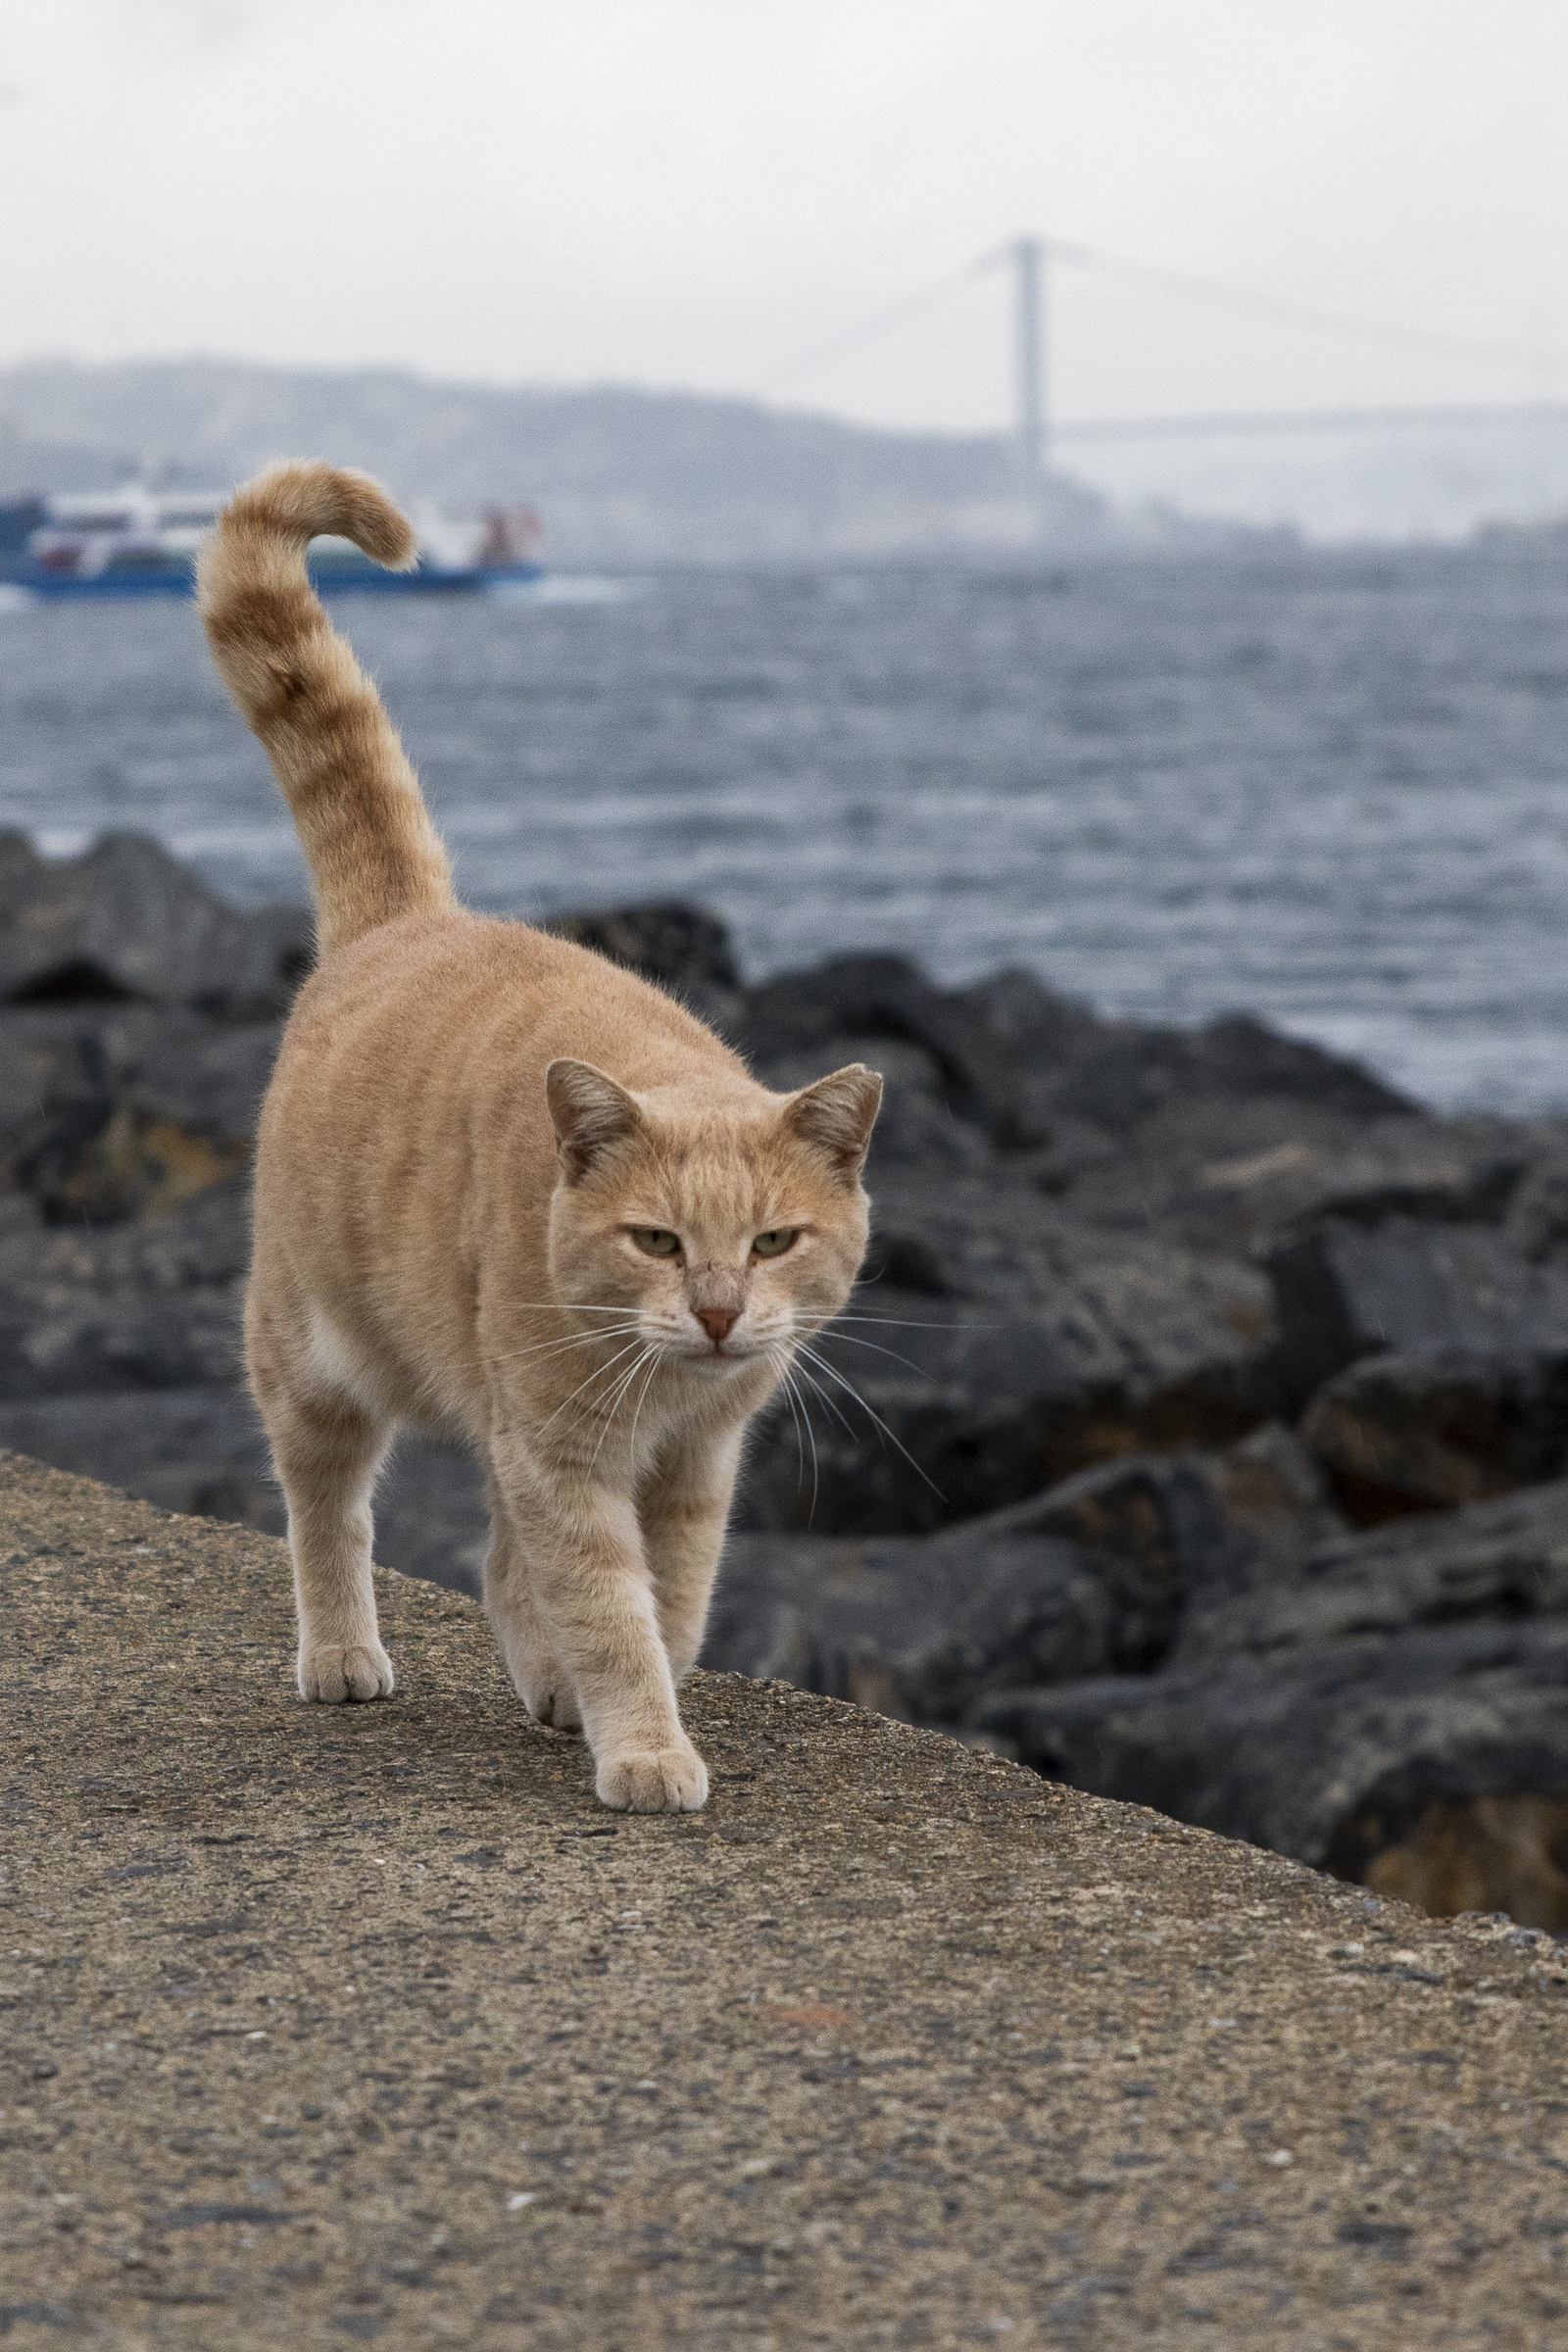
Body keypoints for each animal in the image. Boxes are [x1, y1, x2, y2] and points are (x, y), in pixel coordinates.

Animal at [199, 463, 883, 1815]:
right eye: (656, 1242)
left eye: (774, 1242)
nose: (718, 1314)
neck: (666, 1387)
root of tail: (408, 920)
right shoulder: (564, 1455)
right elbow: (607, 1610)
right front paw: (644, 1745)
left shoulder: (691, 1469)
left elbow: (662, 1605)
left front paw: (620, 1704)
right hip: (312, 1359)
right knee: (327, 1509)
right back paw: (343, 1652)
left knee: (497, 1558)